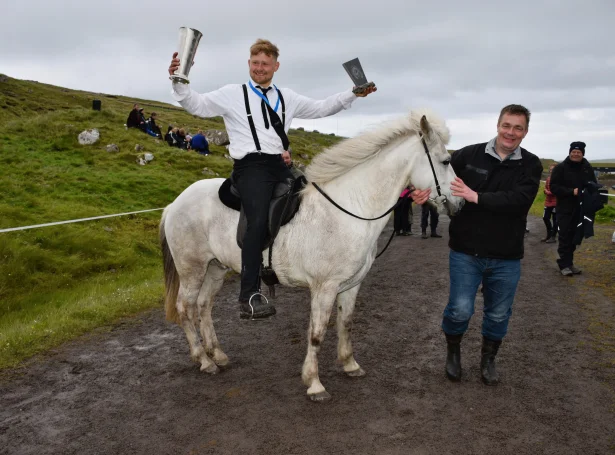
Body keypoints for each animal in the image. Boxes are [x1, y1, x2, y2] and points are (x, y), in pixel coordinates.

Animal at [159, 110, 462, 402]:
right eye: (446, 160)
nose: (458, 203)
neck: (351, 208)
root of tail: (174, 203)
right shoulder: (324, 288)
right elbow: (317, 334)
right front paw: (314, 384)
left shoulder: (351, 285)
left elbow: (346, 323)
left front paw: (350, 364)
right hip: (192, 269)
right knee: (186, 309)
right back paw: (203, 360)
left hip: (215, 268)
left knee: (204, 307)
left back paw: (217, 354)